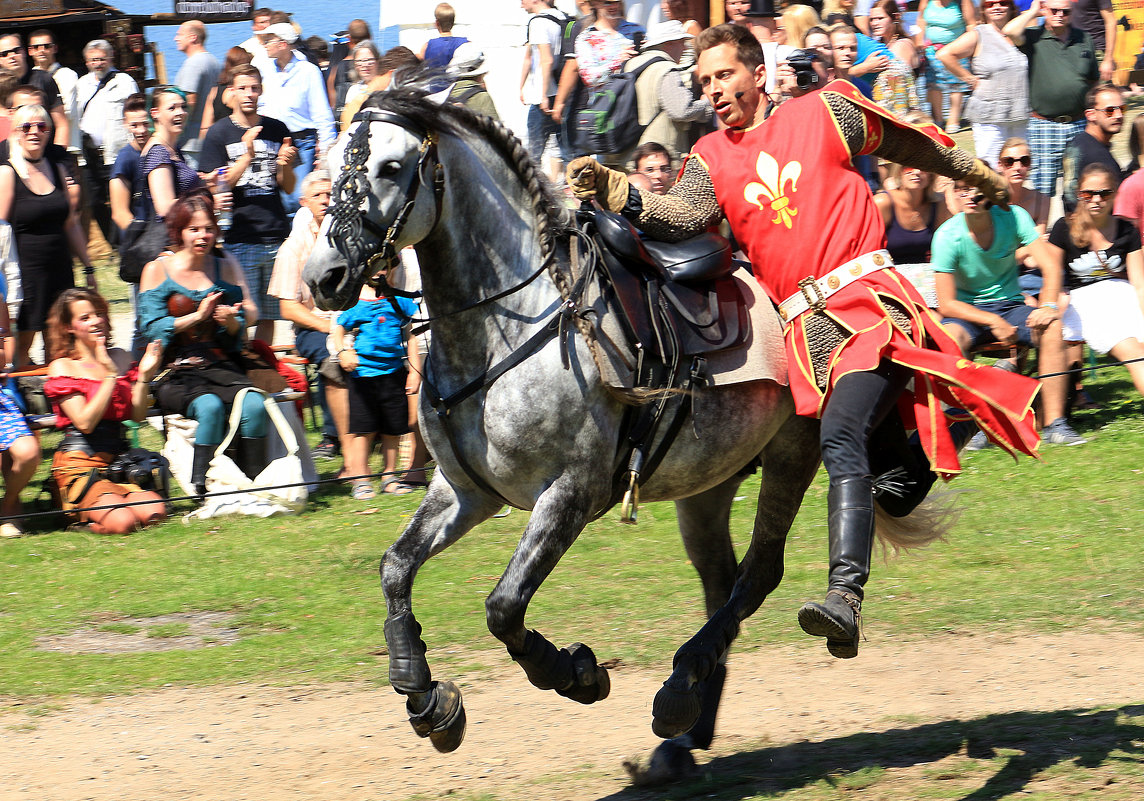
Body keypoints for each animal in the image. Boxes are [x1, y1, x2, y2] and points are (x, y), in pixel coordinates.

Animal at [302, 87, 832, 782]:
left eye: (391, 168)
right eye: (333, 162)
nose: (323, 276)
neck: (505, 327)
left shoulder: (571, 494)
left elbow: (504, 606)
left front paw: (576, 673)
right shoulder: (466, 492)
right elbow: (396, 568)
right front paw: (423, 695)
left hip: (793, 451)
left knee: (759, 573)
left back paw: (680, 690)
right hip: (708, 482)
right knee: (722, 585)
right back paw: (686, 724)